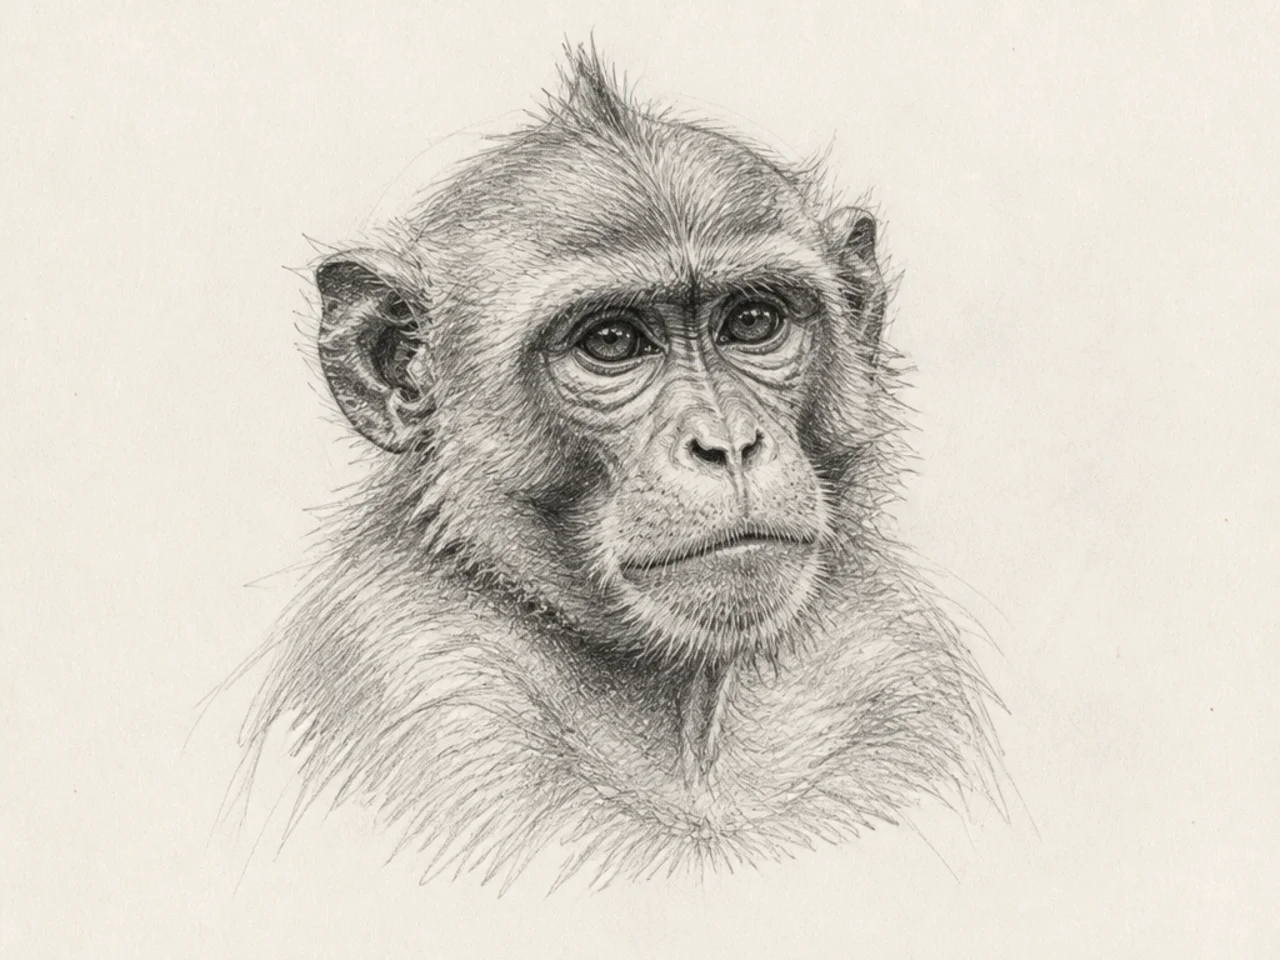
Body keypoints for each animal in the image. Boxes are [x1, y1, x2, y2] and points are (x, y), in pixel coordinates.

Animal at [237, 45, 1002, 890]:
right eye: (611, 341)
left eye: (754, 321)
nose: (728, 444)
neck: (690, 707)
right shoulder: (424, 685)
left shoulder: (894, 669)